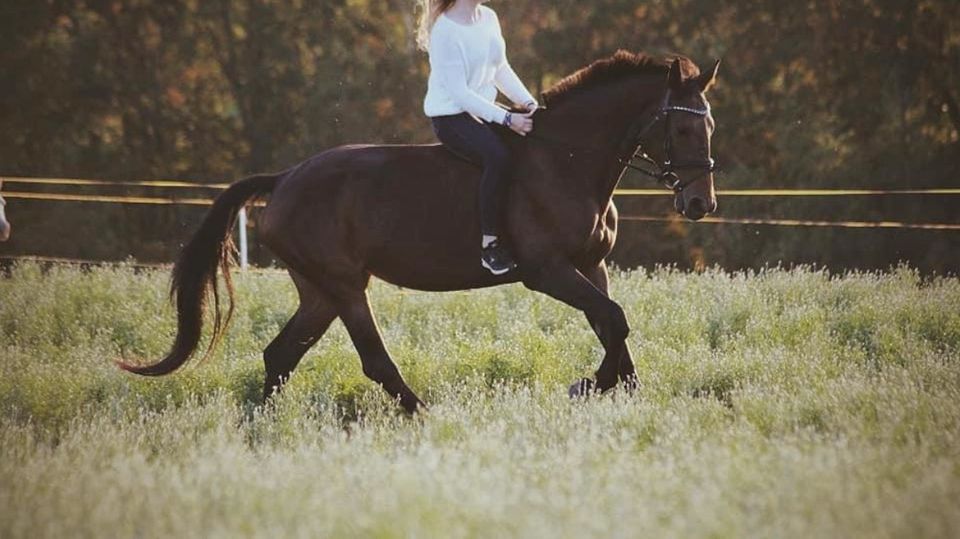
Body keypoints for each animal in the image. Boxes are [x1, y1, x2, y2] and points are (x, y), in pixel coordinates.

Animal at [120, 51, 716, 414]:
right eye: (685, 128)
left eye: (709, 124)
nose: (700, 204)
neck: (566, 160)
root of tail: (285, 178)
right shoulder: (547, 271)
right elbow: (613, 320)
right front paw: (587, 386)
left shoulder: (591, 265)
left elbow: (612, 326)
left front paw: (627, 395)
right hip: (344, 286)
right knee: (370, 358)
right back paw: (425, 416)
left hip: (319, 291)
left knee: (280, 354)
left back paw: (263, 428)